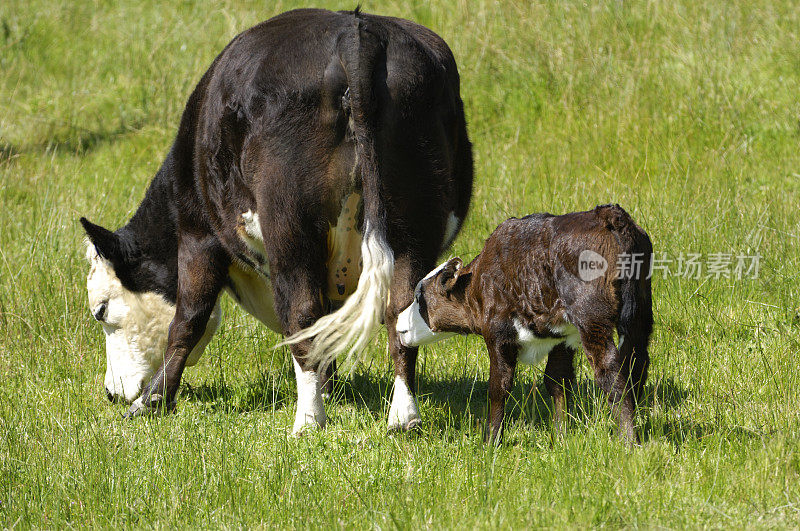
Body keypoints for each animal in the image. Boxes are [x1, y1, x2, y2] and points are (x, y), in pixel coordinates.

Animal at [78, 8, 472, 434]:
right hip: (413, 224)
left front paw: (153, 401)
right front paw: (335, 391)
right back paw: (403, 417)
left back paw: (308, 421)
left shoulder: (198, 234)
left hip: (290, 226)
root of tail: (357, 31)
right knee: (399, 311)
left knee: (300, 313)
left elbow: (187, 320)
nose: (111, 393)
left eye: (101, 310)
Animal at [396, 205, 652, 444]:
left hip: (592, 319)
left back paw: (629, 441)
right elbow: (558, 381)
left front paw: (491, 441)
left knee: (610, 371)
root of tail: (607, 214)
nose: (399, 323)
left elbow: (499, 387)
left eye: (419, 297)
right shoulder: (561, 337)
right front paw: (560, 436)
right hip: (640, 313)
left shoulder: (498, 334)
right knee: (637, 362)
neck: (476, 286)